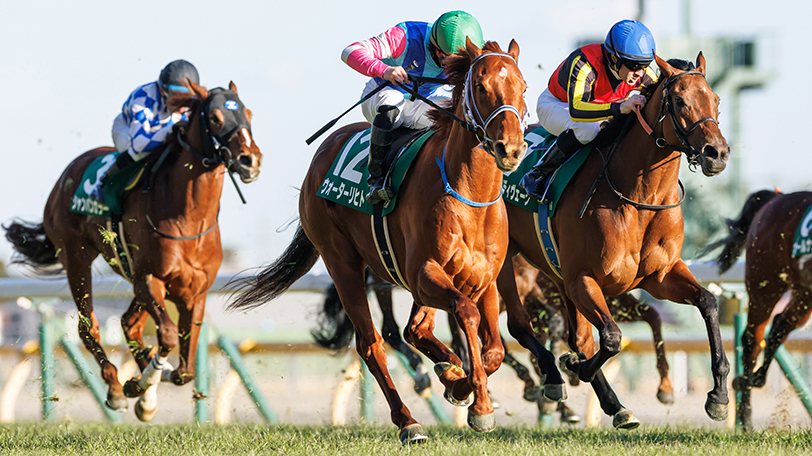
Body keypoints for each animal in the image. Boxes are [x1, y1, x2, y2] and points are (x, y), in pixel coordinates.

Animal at [4, 81, 262, 421]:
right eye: (216, 117)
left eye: (248, 114)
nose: (250, 160)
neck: (189, 219)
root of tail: (67, 173)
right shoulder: (150, 279)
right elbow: (167, 337)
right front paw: (140, 384)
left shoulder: (195, 293)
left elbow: (184, 370)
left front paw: (148, 386)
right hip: (77, 257)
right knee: (89, 328)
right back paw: (116, 389)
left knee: (129, 323)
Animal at [226, 39, 567, 443]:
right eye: (480, 86)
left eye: (524, 86)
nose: (511, 149)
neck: (471, 197)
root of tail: (324, 151)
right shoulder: (425, 273)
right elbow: (466, 315)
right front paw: (477, 402)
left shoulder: (486, 279)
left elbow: (494, 349)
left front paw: (462, 382)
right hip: (343, 263)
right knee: (373, 343)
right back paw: (409, 421)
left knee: (415, 330)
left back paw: (448, 371)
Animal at [492, 54, 731, 428]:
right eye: (680, 101)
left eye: (716, 100)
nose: (716, 153)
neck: (640, 197)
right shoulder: (583, 279)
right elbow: (611, 338)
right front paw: (575, 367)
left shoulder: (659, 276)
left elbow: (707, 302)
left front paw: (718, 396)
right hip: (509, 265)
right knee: (519, 324)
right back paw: (555, 380)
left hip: (556, 276)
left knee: (573, 332)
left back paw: (607, 401)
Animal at [701, 188, 811, 430]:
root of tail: (775, 198)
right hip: (765, 286)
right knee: (752, 340)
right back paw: (746, 413)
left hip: (803, 293)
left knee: (780, 325)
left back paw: (754, 381)